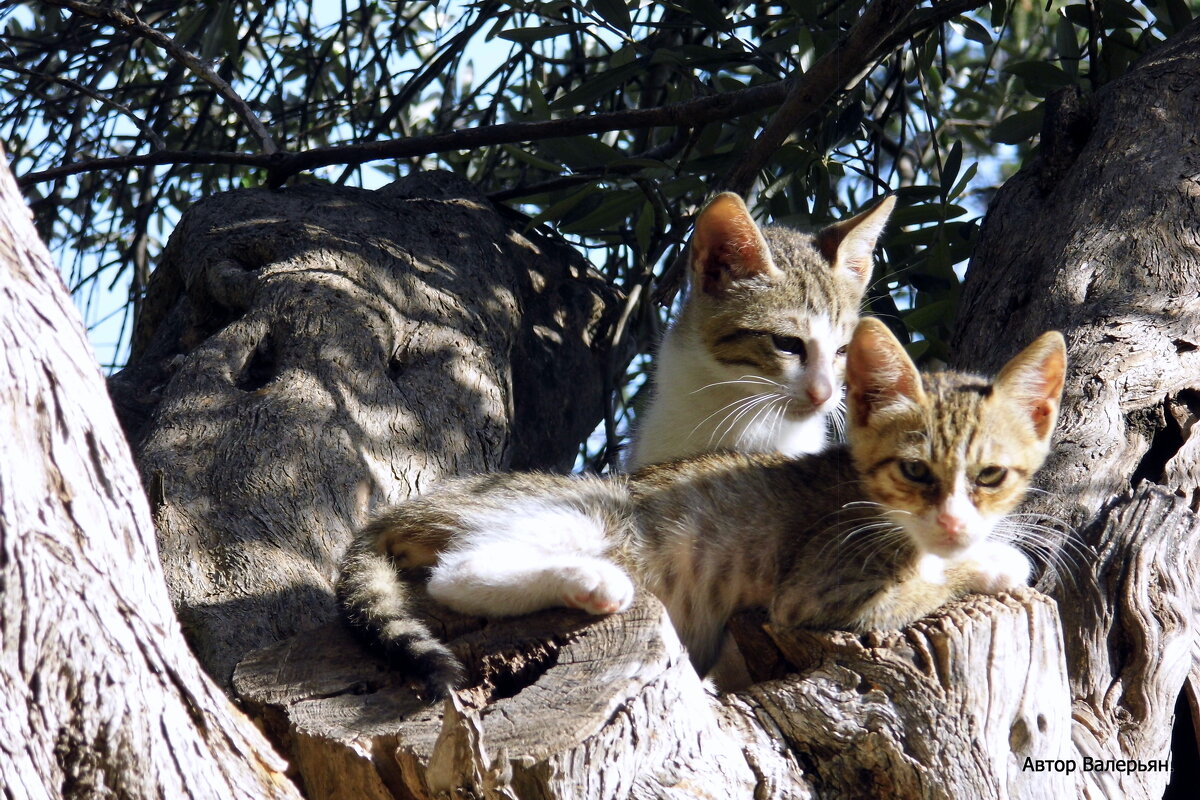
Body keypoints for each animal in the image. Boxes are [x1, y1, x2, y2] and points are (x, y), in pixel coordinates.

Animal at [338, 316, 1070, 695]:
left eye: (991, 475)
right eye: (915, 470)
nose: (952, 520)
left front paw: (985, 547)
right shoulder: (819, 592)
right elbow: (929, 581)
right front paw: (995, 562)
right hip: (589, 512)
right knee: (456, 573)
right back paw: (594, 582)